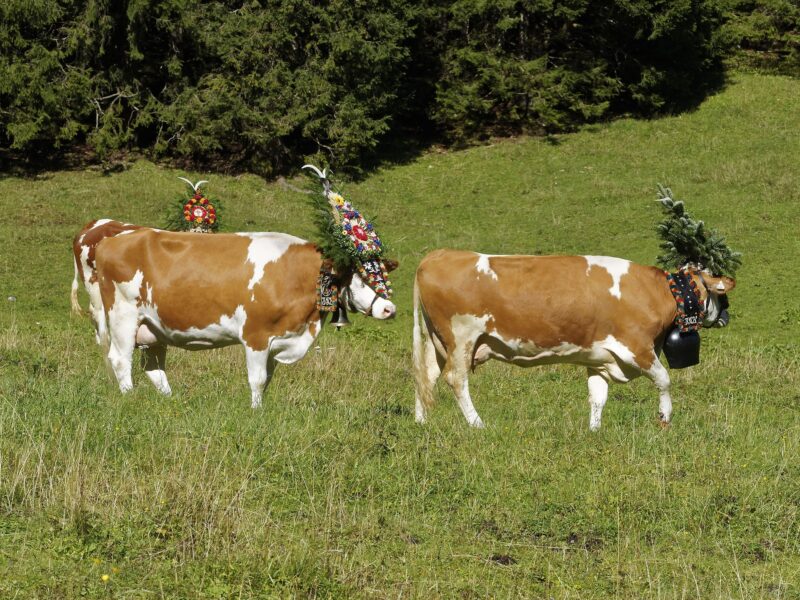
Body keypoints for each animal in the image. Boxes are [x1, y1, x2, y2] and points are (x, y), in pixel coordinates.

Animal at [88, 227, 396, 406]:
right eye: (360, 278)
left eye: (382, 272)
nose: (389, 309)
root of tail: (111, 240)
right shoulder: (256, 335)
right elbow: (257, 379)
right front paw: (255, 412)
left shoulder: (276, 339)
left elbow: (268, 379)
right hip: (123, 315)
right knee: (120, 359)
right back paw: (130, 398)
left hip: (153, 327)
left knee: (153, 368)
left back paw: (170, 401)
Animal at [416, 250, 736, 432]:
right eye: (721, 294)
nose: (726, 316)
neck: (657, 291)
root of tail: (439, 254)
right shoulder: (637, 348)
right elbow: (664, 380)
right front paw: (665, 418)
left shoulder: (601, 359)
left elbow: (598, 396)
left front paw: (594, 431)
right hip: (461, 338)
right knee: (456, 379)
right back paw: (477, 425)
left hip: (436, 341)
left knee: (426, 376)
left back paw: (421, 423)